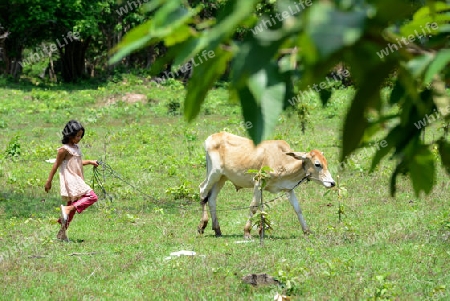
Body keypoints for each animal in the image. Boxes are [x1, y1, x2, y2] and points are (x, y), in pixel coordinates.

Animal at [197, 130, 334, 238]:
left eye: (326, 162)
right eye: (317, 164)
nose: (332, 183)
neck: (282, 160)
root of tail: (213, 136)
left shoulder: (288, 189)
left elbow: (297, 209)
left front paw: (307, 231)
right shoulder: (258, 182)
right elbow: (253, 207)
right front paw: (247, 232)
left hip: (222, 178)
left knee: (212, 198)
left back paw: (217, 229)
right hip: (214, 173)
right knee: (203, 190)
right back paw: (202, 226)